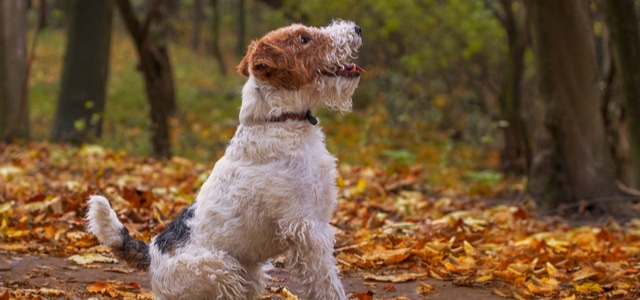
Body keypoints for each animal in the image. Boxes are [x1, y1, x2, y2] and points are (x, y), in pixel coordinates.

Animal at [86, 19, 364, 298]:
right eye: (303, 39)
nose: (356, 29)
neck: (278, 120)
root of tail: (152, 253)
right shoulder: (307, 228)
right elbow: (326, 283)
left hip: (250, 272)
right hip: (221, 269)